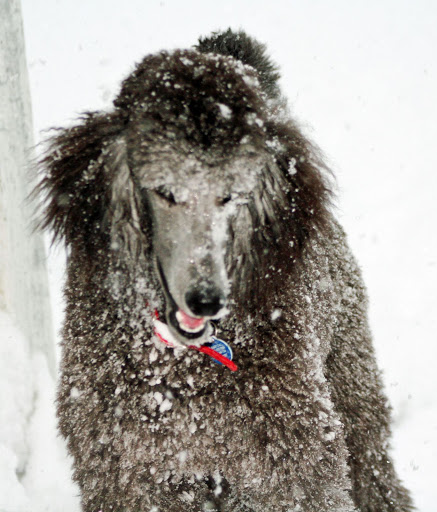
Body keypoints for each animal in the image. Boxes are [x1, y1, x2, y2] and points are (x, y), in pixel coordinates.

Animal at [36, 29, 412, 512]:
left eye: (231, 195)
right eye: (165, 191)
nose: (206, 298)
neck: (182, 365)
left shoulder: (292, 467)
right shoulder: (129, 474)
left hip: (349, 374)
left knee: (372, 465)